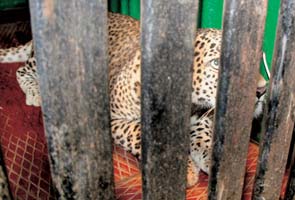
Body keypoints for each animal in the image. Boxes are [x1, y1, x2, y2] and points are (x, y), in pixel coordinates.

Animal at [0, 12, 268, 188]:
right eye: (216, 63)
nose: (262, 90)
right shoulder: (113, 118)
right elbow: (139, 132)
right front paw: (182, 169)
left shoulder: (203, 117)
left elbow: (202, 134)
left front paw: (215, 158)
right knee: (21, 71)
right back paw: (36, 93)